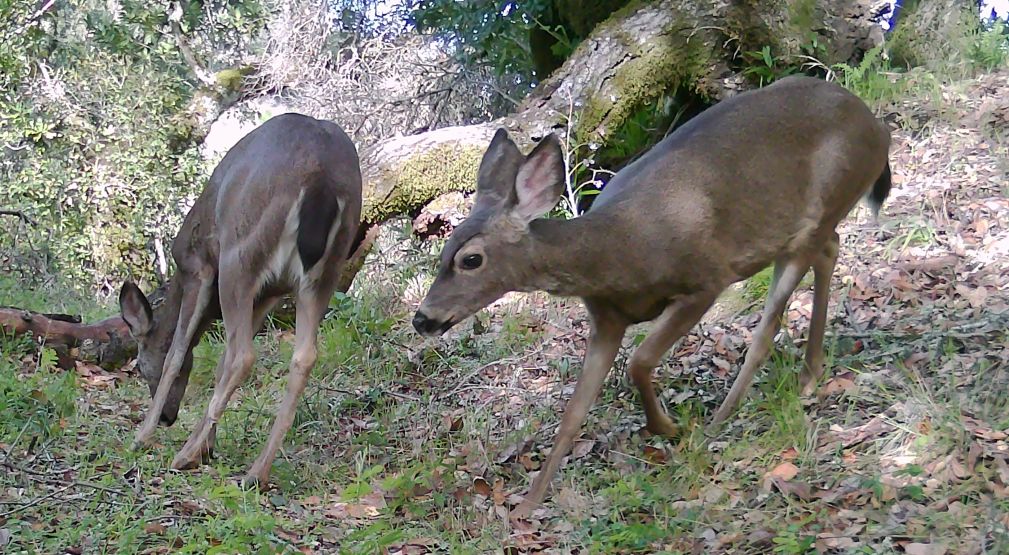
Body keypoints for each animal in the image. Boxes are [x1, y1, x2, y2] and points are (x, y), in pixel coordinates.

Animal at [118, 113, 362, 487]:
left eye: (142, 367)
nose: (168, 418)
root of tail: (321, 179)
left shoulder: (198, 266)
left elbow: (177, 351)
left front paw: (144, 436)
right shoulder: (267, 294)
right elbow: (218, 362)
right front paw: (206, 446)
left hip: (241, 254)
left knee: (245, 356)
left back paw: (185, 456)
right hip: (326, 270)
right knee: (303, 356)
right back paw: (256, 472)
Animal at [411, 75, 892, 515]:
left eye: (470, 259)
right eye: (444, 247)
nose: (422, 318)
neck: (616, 255)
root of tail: (875, 125)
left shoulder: (705, 279)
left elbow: (640, 361)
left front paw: (668, 427)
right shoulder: (605, 321)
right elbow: (572, 414)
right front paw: (528, 507)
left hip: (818, 209)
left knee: (769, 321)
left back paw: (726, 415)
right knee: (830, 250)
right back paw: (810, 373)